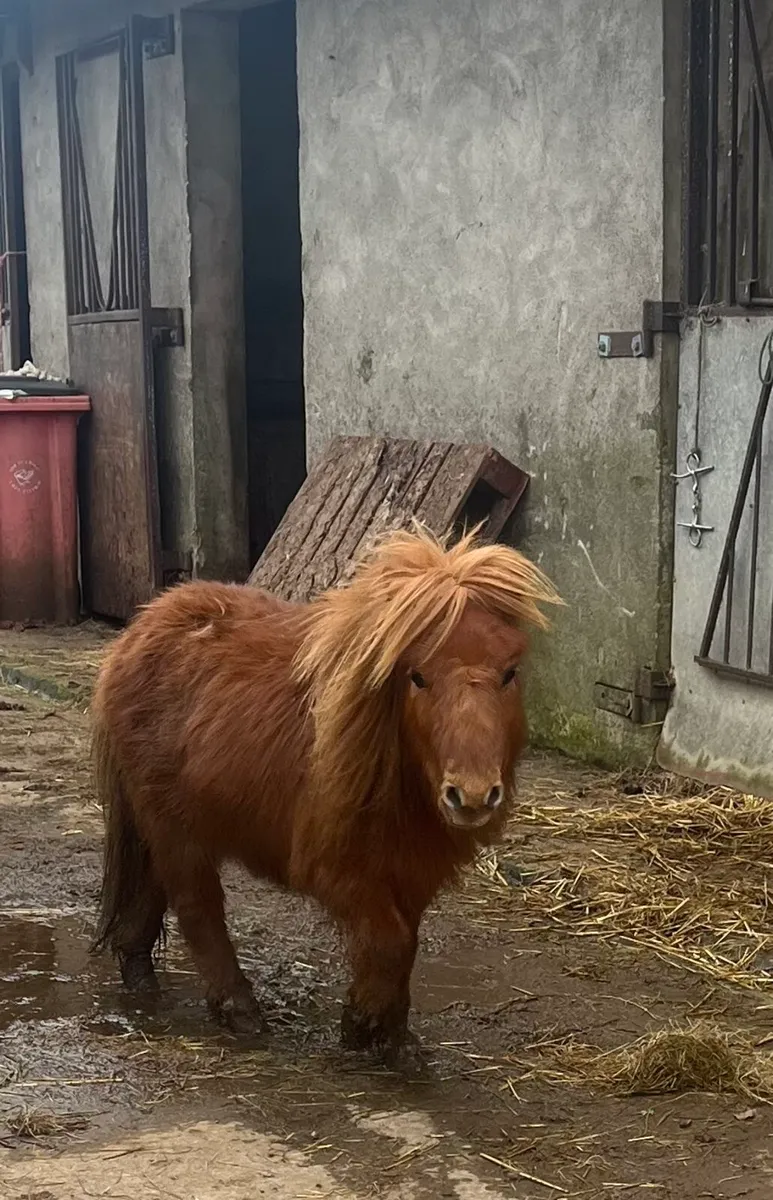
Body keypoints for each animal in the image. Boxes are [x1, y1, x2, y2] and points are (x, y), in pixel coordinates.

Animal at [91, 525, 560, 1062]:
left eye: (509, 672)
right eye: (417, 676)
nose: (475, 795)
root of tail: (141, 628)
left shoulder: (410, 873)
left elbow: (405, 947)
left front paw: (391, 1035)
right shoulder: (341, 870)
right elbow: (388, 944)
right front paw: (362, 1028)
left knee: (152, 887)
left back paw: (138, 972)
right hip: (175, 826)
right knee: (196, 906)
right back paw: (239, 1009)